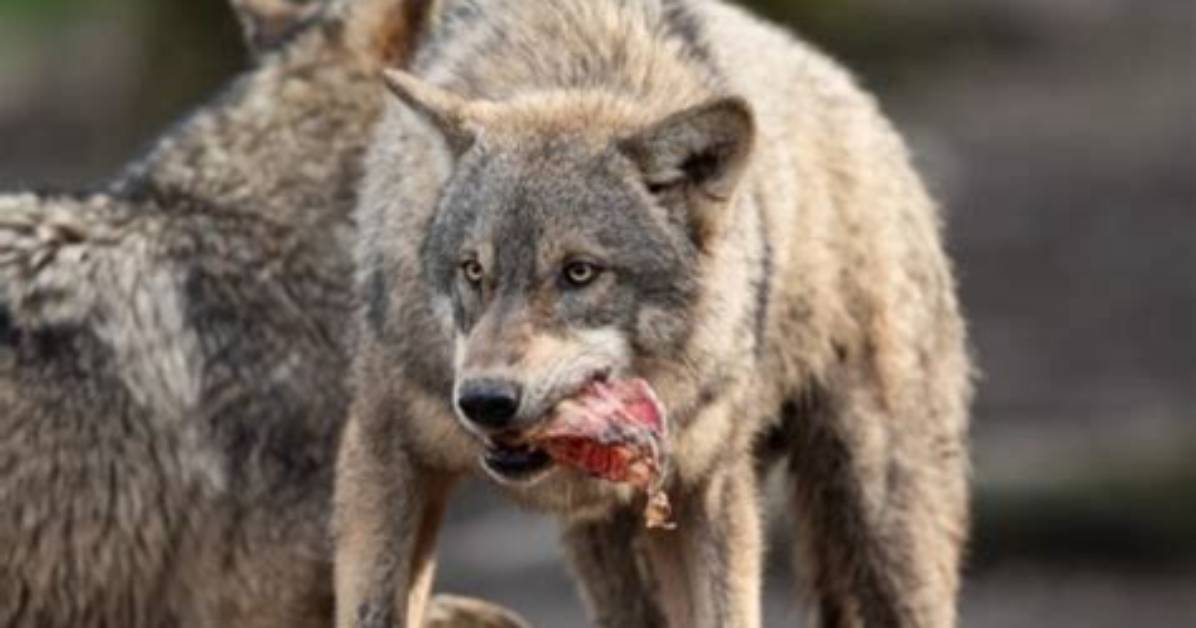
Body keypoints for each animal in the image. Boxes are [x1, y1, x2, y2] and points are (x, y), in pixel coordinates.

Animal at [336, 0, 972, 627]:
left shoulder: (713, 488)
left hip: (882, 523)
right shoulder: (384, 455)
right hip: (610, 550)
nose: (484, 401)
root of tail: (862, 104)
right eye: (473, 270)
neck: (576, 60)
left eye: (579, 272)